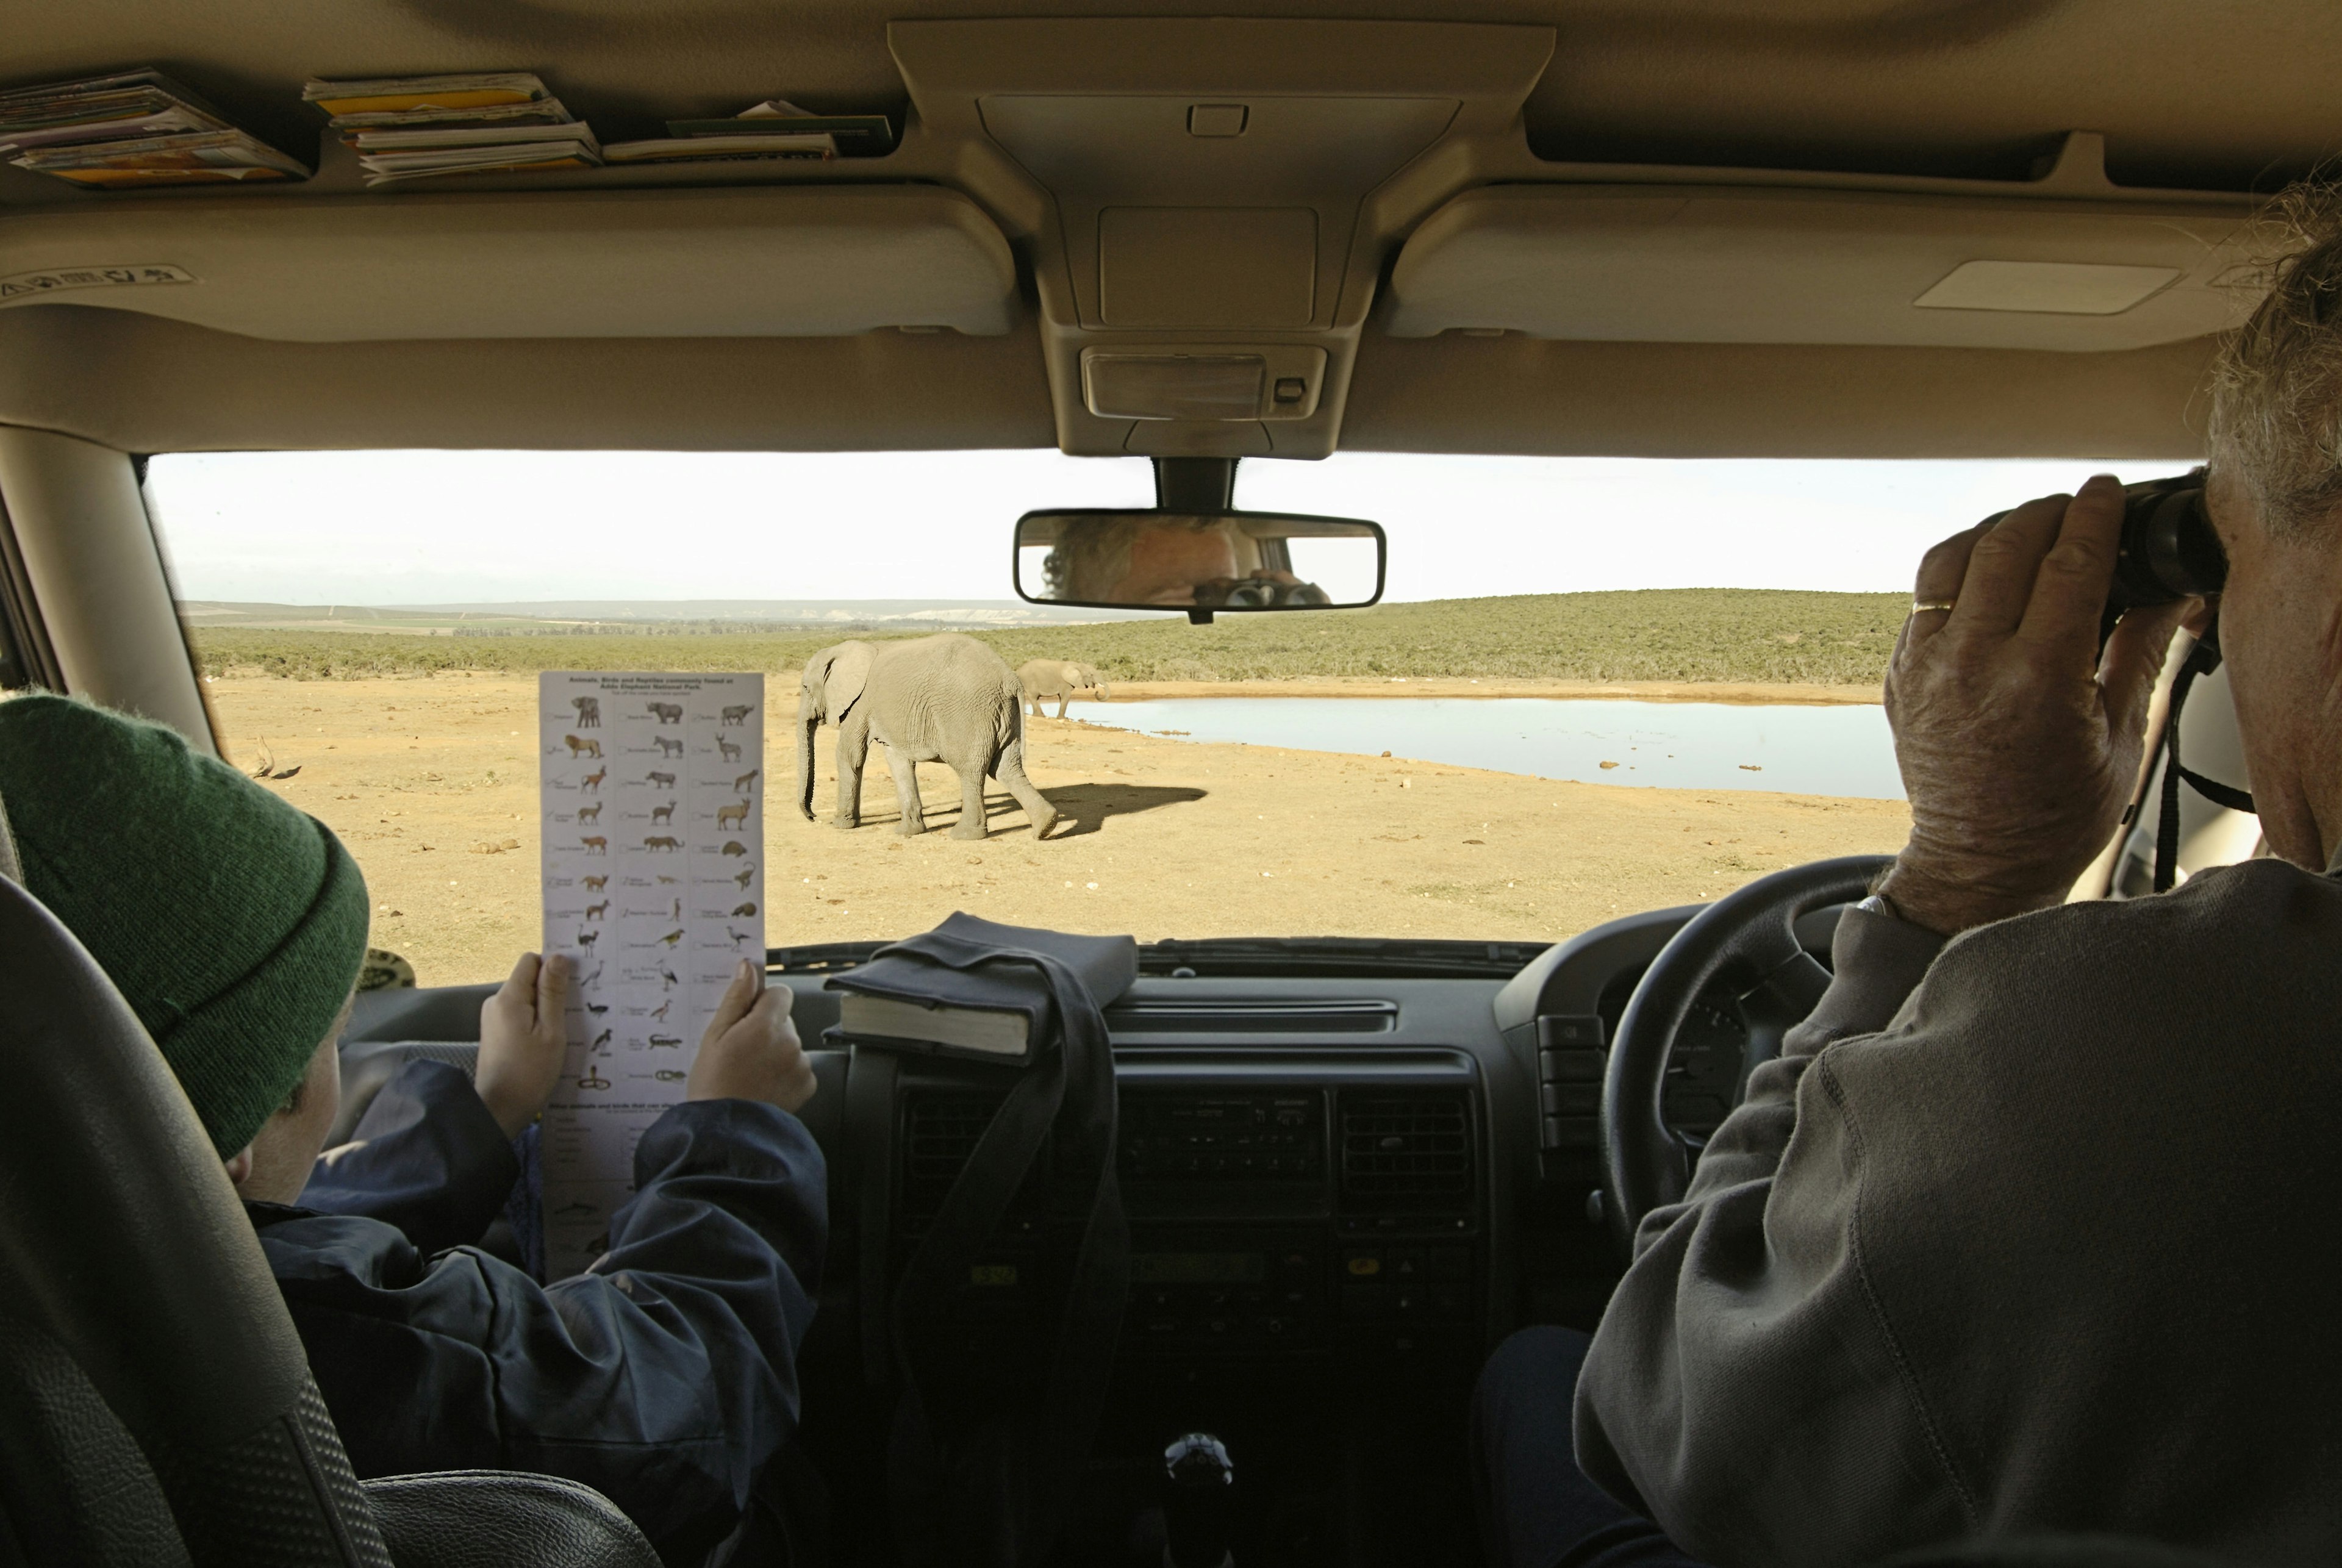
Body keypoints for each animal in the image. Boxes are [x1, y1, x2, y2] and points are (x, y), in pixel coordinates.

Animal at [805, 632, 1063, 842]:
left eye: (806, 689)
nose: (813, 817)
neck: (843, 650)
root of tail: (1010, 679)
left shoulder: (859, 704)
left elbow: (850, 755)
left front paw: (840, 825)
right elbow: (898, 761)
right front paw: (908, 832)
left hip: (969, 713)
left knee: (971, 770)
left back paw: (965, 835)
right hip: (1005, 714)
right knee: (1007, 769)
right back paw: (1045, 827)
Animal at [1011, 655, 1110, 720]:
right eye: (1091, 675)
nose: (1097, 692)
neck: (1077, 665)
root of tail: (1018, 671)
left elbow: (1062, 698)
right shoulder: (1065, 683)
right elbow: (1065, 696)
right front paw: (1064, 719)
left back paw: (1040, 716)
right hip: (1029, 681)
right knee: (1034, 697)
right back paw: (1040, 716)